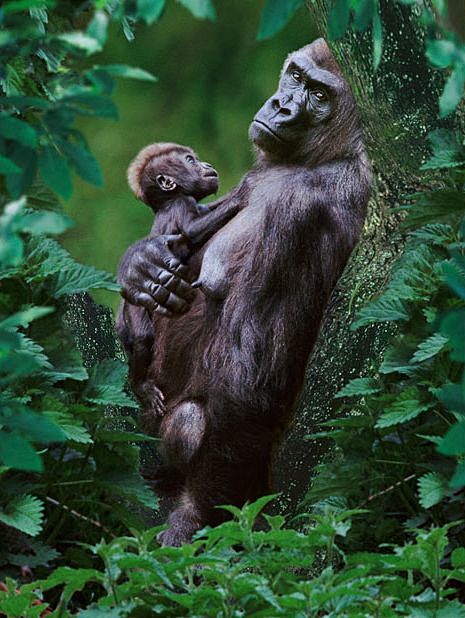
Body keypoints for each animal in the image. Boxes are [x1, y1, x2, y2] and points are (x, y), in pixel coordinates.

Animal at [117, 140, 239, 418]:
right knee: (142, 338)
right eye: (190, 161)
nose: (206, 165)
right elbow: (192, 230)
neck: (168, 200)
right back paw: (140, 386)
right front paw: (244, 190)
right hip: (135, 307)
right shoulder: (181, 203)